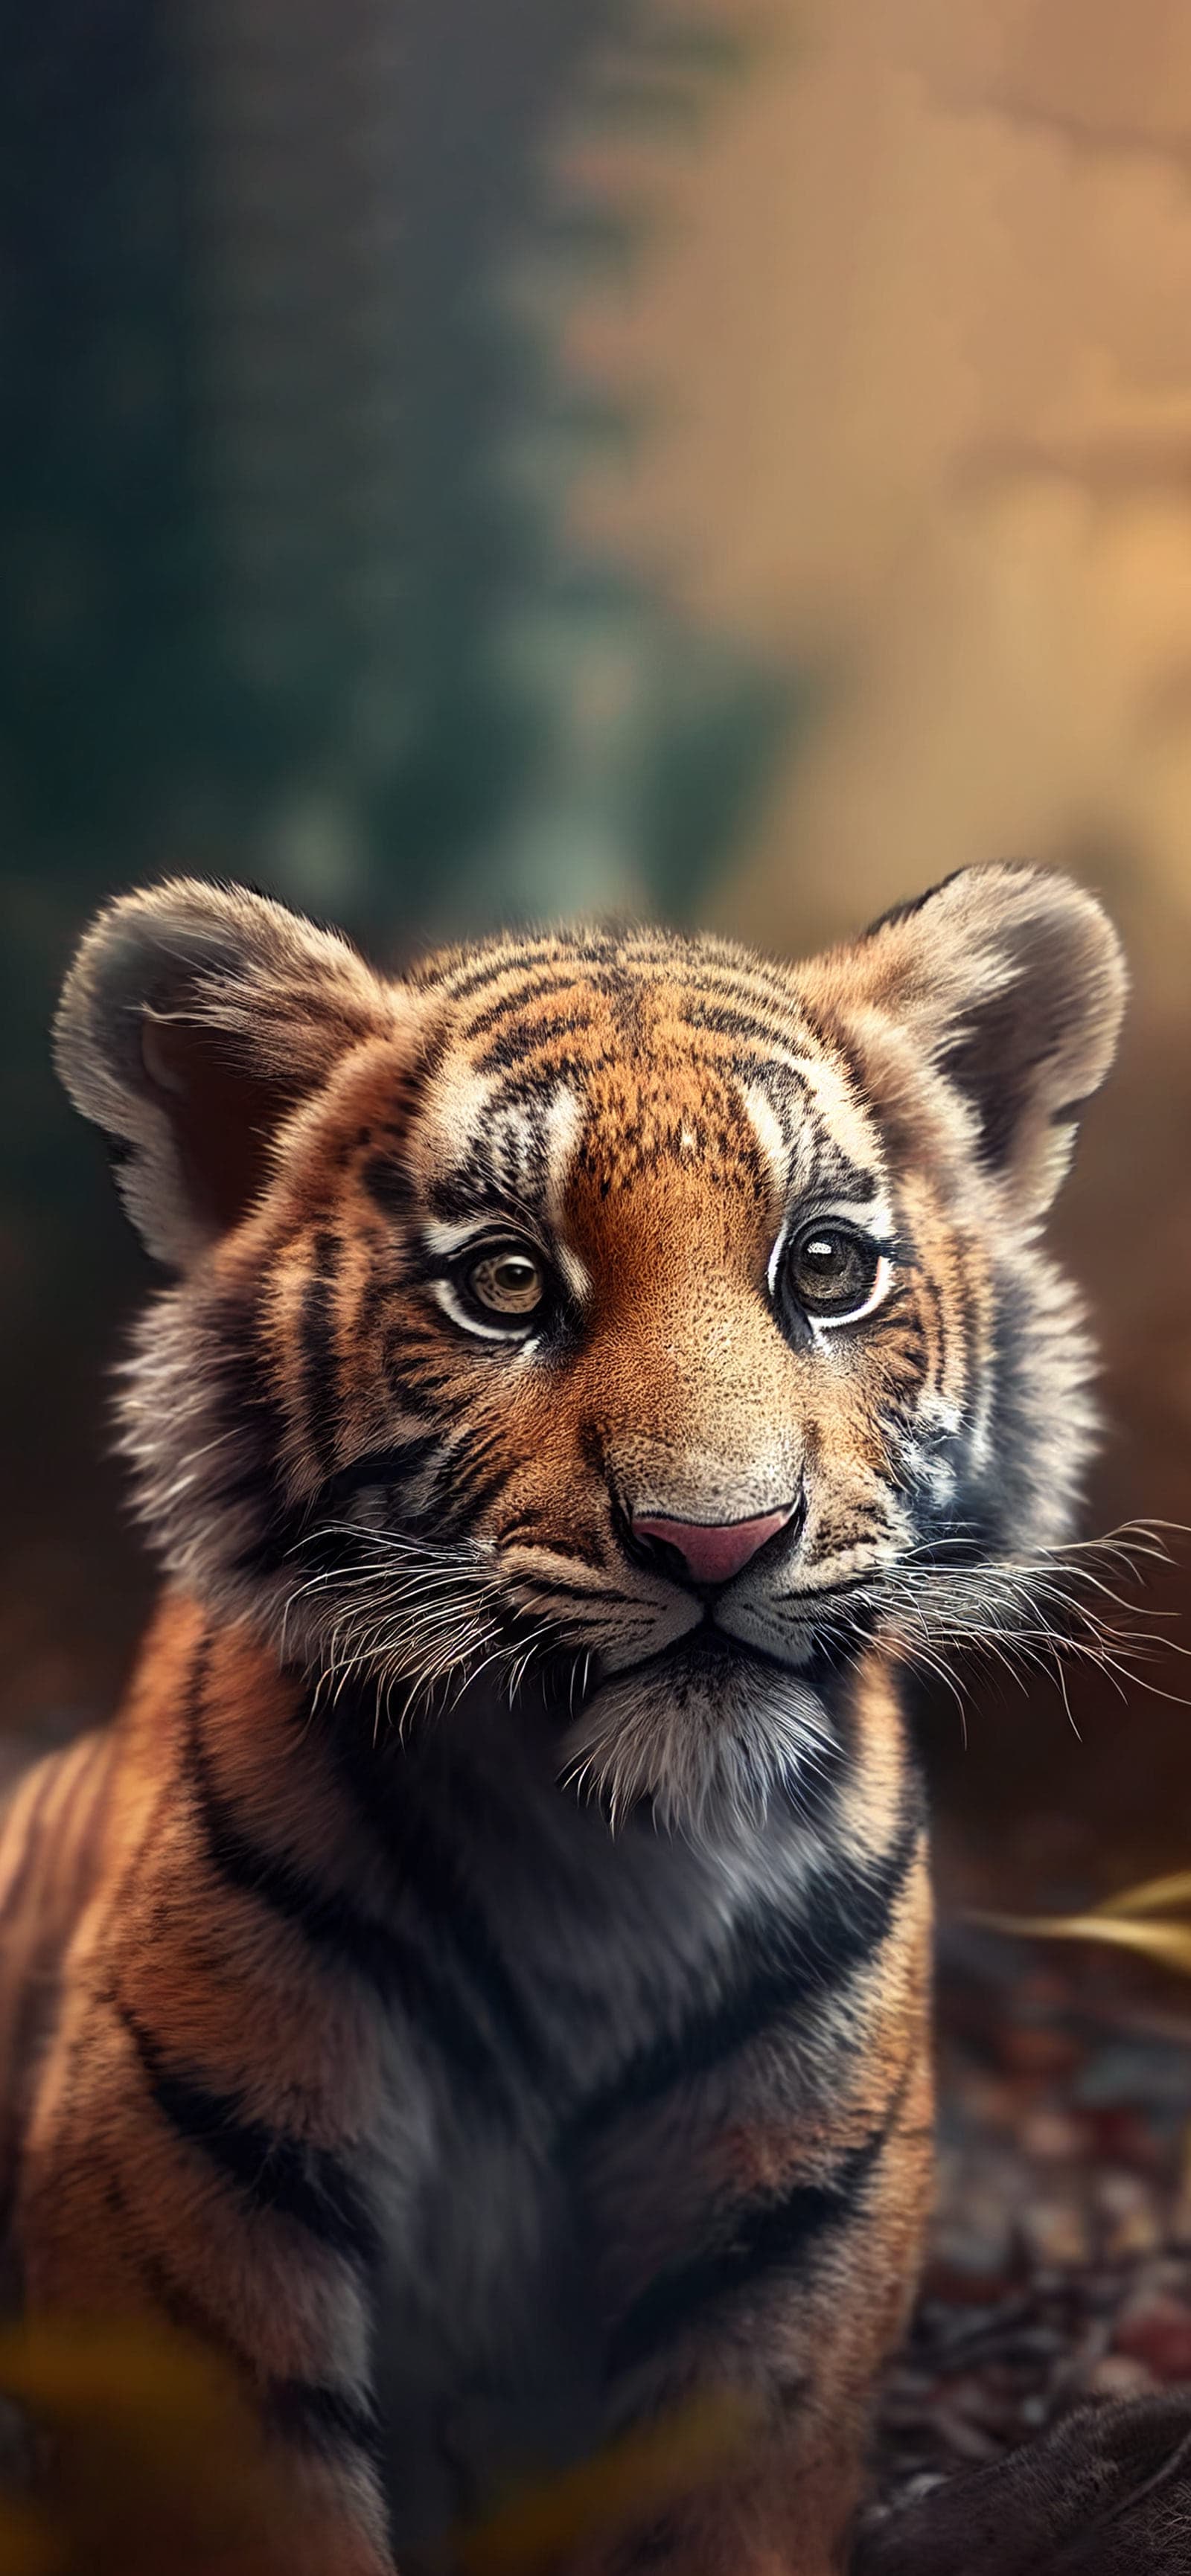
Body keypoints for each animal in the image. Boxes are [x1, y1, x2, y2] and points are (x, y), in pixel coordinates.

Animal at [0, 861, 1128, 2575]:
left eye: (824, 1268)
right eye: (506, 1282)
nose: (719, 1542)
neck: (610, 1864)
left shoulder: (781, 2261)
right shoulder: (190, 2225)